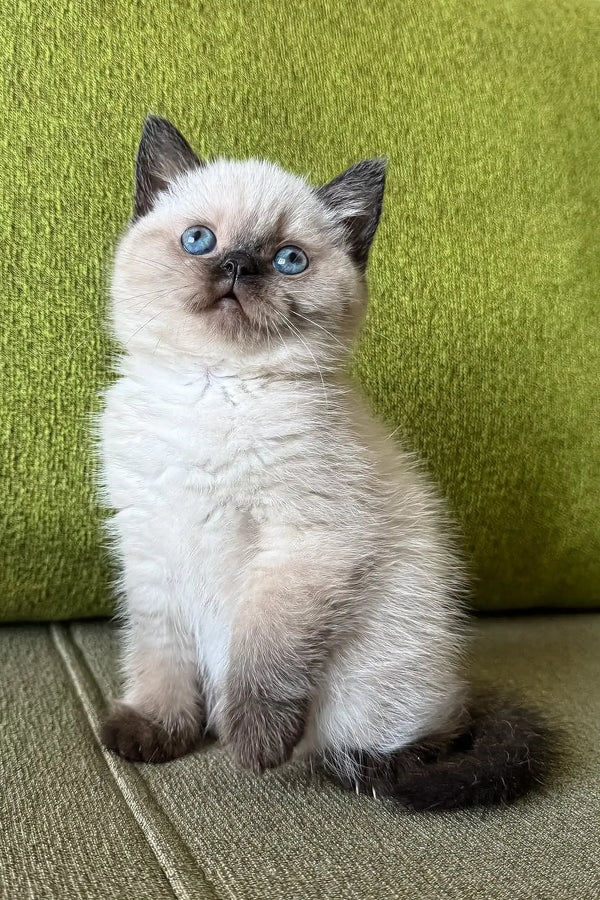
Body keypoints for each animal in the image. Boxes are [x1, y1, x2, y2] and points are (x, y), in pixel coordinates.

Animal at [99, 116, 548, 812]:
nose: (237, 265)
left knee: (425, 740)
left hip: (374, 682)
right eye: (199, 240)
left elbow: (264, 658)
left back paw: (357, 764)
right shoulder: (150, 551)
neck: (214, 388)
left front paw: (253, 745)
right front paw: (157, 730)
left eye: (289, 259)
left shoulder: (307, 544)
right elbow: (159, 656)